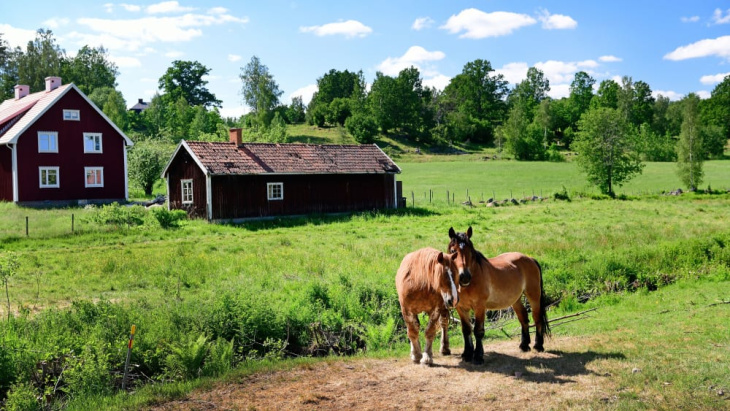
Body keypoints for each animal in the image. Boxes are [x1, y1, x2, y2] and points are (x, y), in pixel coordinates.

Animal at [446, 227, 548, 366]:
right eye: (453, 251)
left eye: (470, 251)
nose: (464, 277)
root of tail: (530, 258)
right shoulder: (461, 308)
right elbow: (466, 330)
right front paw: (467, 354)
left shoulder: (480, 307)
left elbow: (478, 331)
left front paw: (478, 356)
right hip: (515, 300)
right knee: (523, 318)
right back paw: (524, 345)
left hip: (534, 295)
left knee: (537, 318)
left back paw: (538, 346)